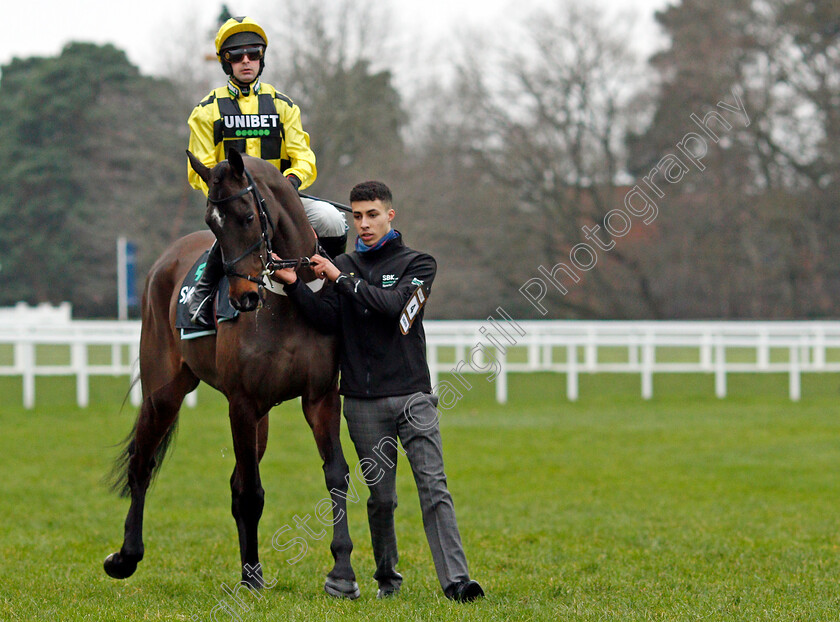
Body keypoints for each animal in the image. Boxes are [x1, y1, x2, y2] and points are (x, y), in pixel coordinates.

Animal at [102, 150, 358, 600]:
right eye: (212, 223)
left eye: (247, 216)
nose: (244, 298)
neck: (288, 303)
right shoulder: (241, 403)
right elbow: (251, 493)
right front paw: (252, 576)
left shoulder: (321, 397)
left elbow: (335, 474)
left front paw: (342, 571)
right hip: (164, 393)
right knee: (142, 464)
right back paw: (127, 556)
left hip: (261, 419)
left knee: (236, 477)